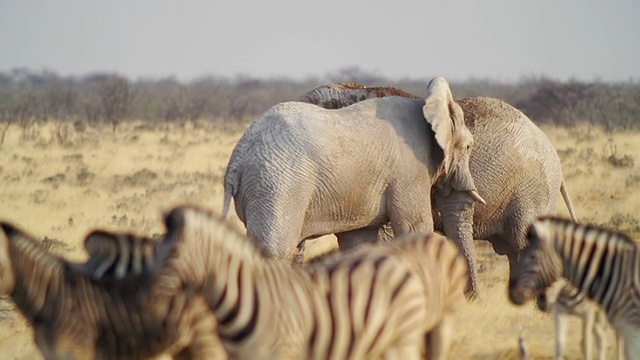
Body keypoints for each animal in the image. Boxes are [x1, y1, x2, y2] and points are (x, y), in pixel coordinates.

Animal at [222, 76, 482, 282]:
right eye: (469, 146)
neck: (425, 103)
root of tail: (237, 158)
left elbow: (359, 242)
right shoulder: (410, 172)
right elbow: (414, 228)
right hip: (277, 185)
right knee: (276, 250)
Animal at [510, 217, 640, 360]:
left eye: (560, 276)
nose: (542, 304)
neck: (568, 293)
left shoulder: (588, 313)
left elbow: (585, 343)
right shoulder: (559, 311)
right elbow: (560, 343)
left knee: (618, 338)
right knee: (601, 338)